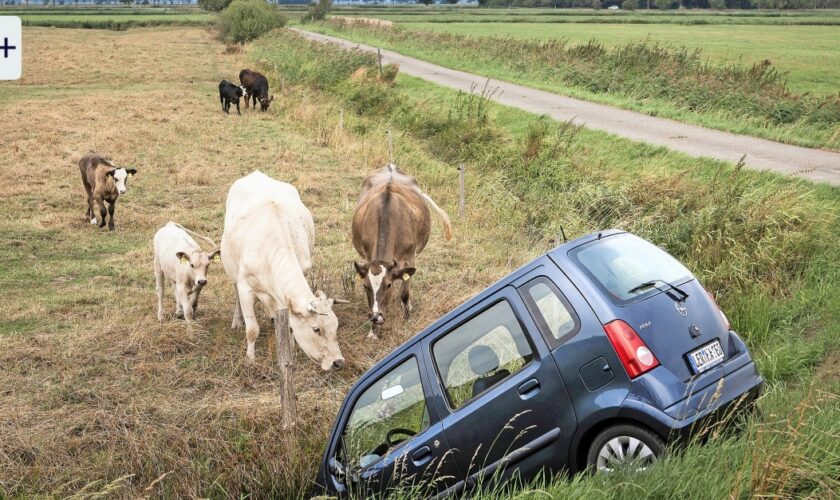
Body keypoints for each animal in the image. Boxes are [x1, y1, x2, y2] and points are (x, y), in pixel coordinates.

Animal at [221, 172, 346, 372]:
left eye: (336, 326)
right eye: (316, 329)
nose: (338, 362)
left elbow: (288, 324)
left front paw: (291, 347)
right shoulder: (246, 288)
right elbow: (252, 329)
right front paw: (250, 359)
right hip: (233, 273)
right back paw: (237, 321)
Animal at [352, 164, 452, 340]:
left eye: (389, 285)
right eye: (365, 286)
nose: (376, 317)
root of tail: (390, 166)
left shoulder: (410, 258)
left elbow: (404, 293)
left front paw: (407, 318)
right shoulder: (367, 255)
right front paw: (373, 332)